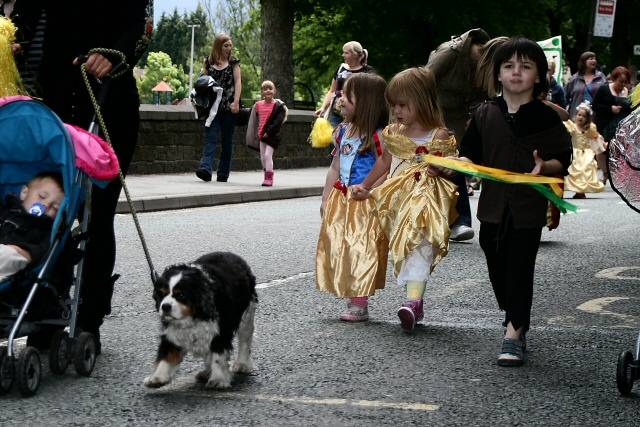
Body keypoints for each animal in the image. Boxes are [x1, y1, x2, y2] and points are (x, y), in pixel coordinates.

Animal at [144, 252, 256, 390]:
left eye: (181, 295)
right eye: (161, 294)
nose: (165, 307)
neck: (192, 316)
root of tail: (231, 254)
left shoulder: (220, 332)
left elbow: (218, 357)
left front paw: (218, 379)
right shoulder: (171, 333)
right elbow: (166, 355)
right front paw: (157, 378)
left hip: (247, 315)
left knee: (245, 340)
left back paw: (242, 364)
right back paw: (206, 372)